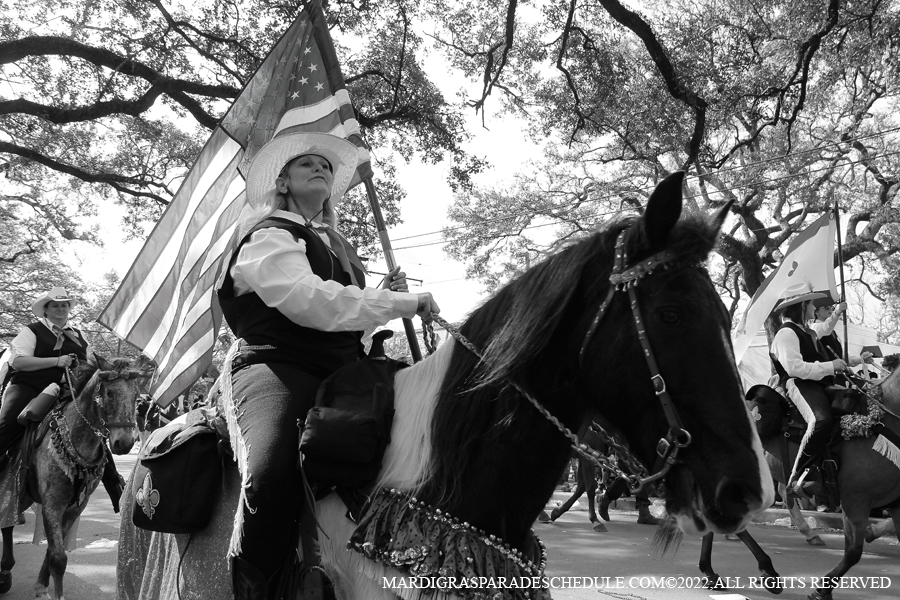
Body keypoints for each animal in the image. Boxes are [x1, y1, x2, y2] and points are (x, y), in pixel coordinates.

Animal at [0, 356, 148, 600]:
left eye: (136, 396)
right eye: (109, 393)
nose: (125, 443)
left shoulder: (75, 506)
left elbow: (53, 551)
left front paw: (41, 585)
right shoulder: (52, 503)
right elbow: (59, 559)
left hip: (24, 495)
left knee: (8, 523)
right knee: (7, 521)